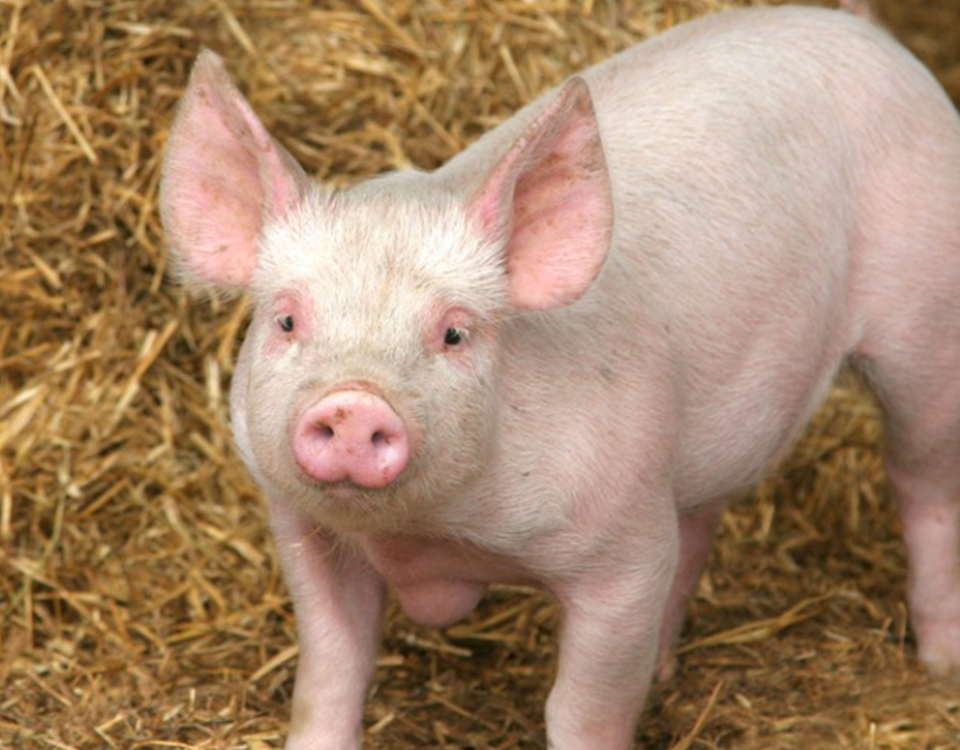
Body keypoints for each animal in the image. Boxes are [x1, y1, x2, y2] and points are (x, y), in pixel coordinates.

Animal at [159, 4, 960, 749]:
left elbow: (581, 708)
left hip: (926, 318)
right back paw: (665, 670)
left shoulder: (623, 555)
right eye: (287, 320)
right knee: (701, 521)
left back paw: (939, 666)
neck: (427, 537)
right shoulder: (304, 531)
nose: (355, 403)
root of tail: (859, 30)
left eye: (455, 332)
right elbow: (330, 673)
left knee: (923, 485)